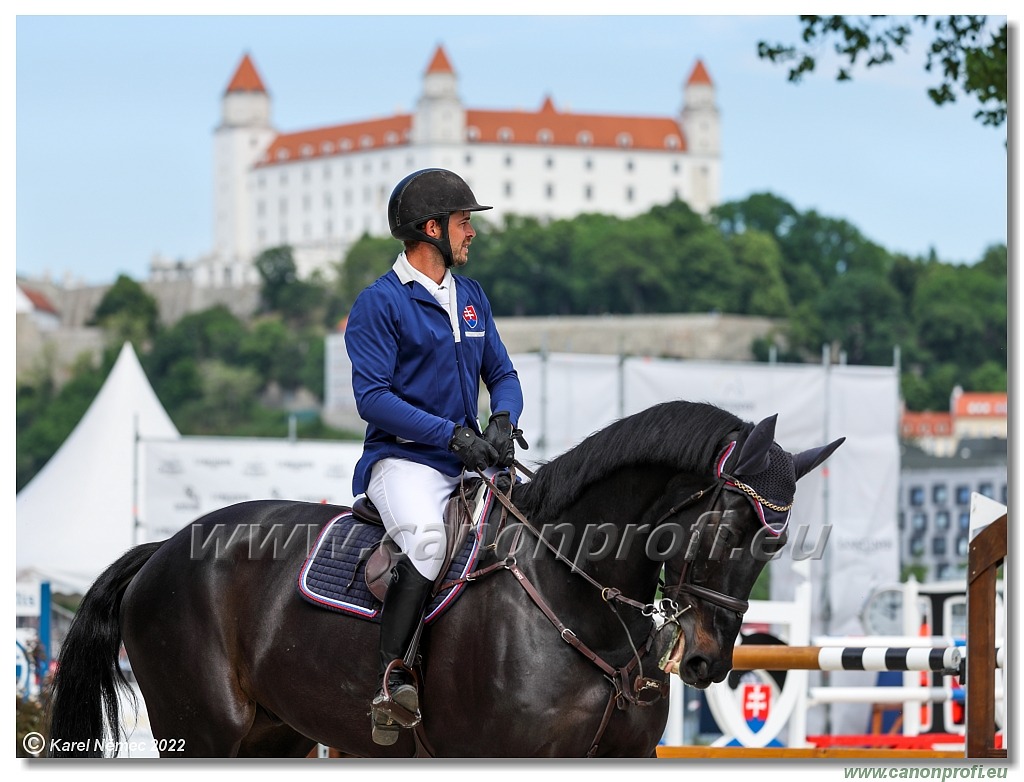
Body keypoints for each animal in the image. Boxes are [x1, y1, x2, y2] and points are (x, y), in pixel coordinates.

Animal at [48, 399, 843, 753]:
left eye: (772, 545)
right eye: (725, 528)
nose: (709, 661)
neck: (573, 593)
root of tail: (162, 549)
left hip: (274, 736)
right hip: (200, 731)